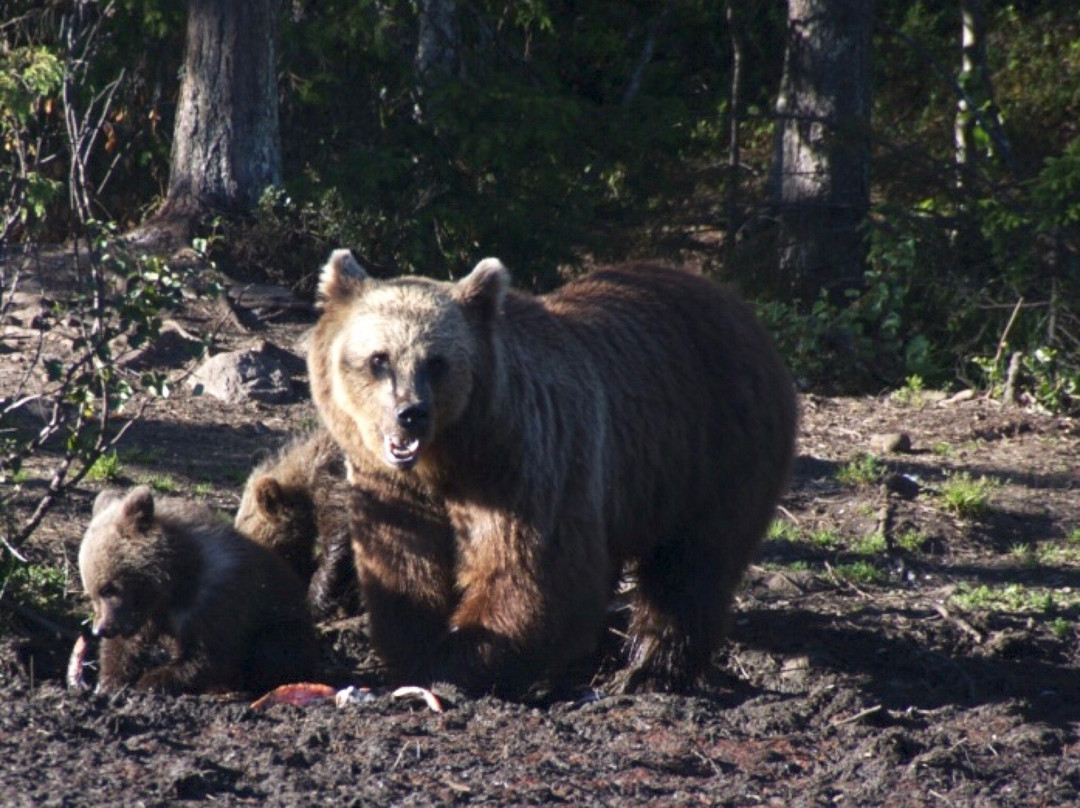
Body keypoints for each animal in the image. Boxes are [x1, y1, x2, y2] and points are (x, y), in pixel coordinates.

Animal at [308, 250, 799, 695]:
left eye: (436, 361)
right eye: (379, 359)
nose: (410, 414)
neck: (448, 457)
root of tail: (737, 306)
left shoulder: (523, 463)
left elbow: (528, 572)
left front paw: (455, 664)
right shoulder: (393, 487)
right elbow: (403, 563)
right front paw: (414, 648)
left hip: (716, 451)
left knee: (691, 566)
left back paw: (649, 670)